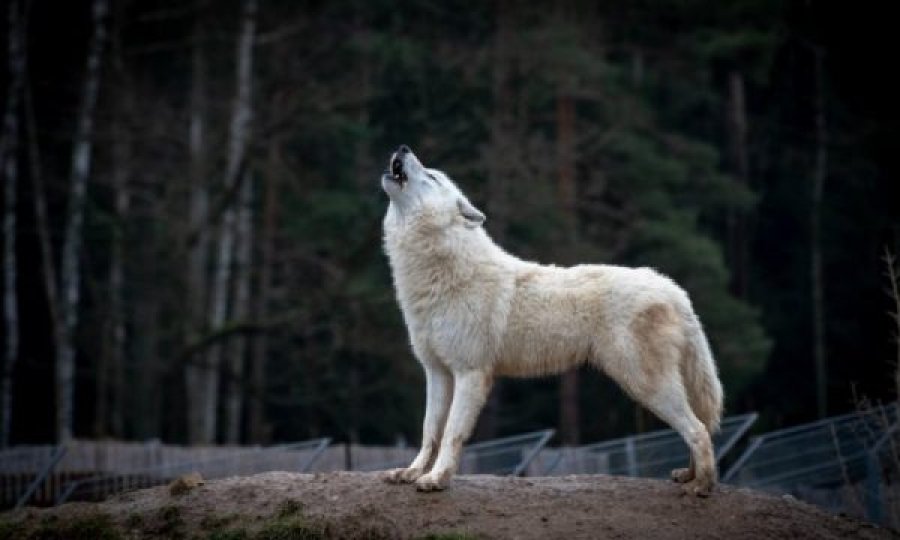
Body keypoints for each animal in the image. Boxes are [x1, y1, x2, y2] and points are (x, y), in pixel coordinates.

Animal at [380, 146, 724, 496]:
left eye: (432, 176)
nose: (403, 148)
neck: (443, 273)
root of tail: (673, 288)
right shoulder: (437, 372)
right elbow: (429, 431)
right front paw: (411, 472)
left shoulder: (470, 374)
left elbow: (451, 433)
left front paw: (436, 479)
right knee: (699, 426)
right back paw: (689, 476)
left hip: (644, 384)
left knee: (699, 430)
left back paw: (702, 486)